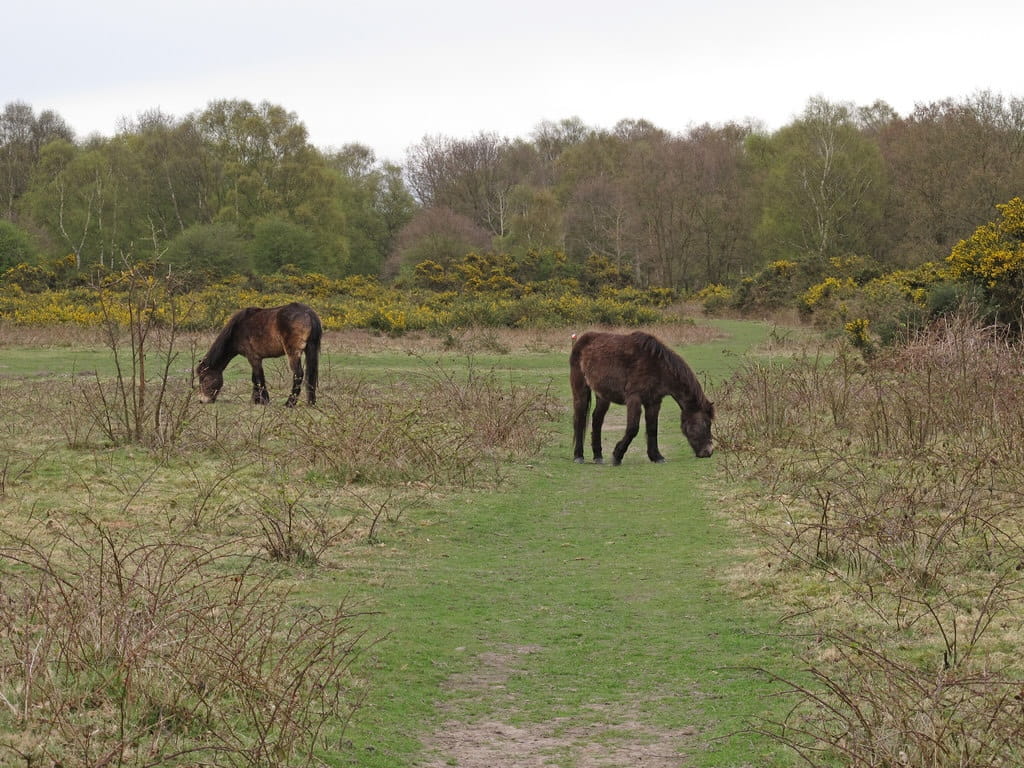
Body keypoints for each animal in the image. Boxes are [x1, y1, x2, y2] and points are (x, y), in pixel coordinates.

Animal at [570, 330, 715, 464]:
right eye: (705, 423)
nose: (708, 452)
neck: (657, 367)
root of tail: (582, 339)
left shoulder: (654, 402)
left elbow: (652, 428)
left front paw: (656, 456)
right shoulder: (634, 399)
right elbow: (633, 428)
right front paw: (617, 455)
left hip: (603, 395)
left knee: (597, 420)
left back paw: (598, 456)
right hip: (581, 391)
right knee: (580, 419)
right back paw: (578, 456)